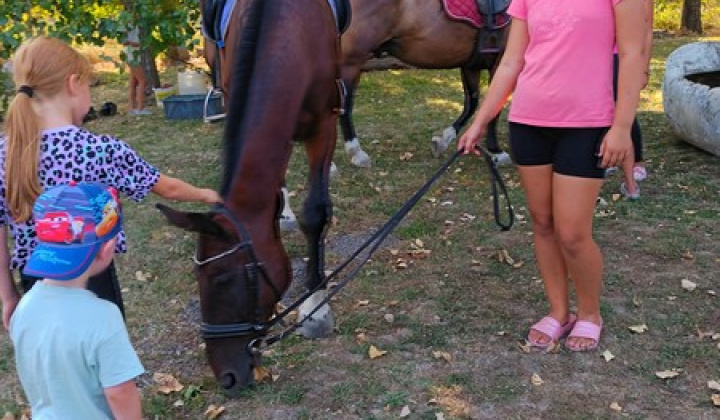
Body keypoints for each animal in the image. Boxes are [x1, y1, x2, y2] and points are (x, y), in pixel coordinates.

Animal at [158, 0, 348, 394]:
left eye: (223, 280)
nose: (226, 376)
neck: (290, 27)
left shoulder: (324, 124)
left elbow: (316, 213)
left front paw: (317, 307)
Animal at [338, 0, 512, 167]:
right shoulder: (501, 63)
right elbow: (494, 108)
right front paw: (497, 151)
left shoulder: (471, 65)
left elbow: (472, 104)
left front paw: (443, 141)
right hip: (351, 62)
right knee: (344, 107)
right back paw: (356, 153)